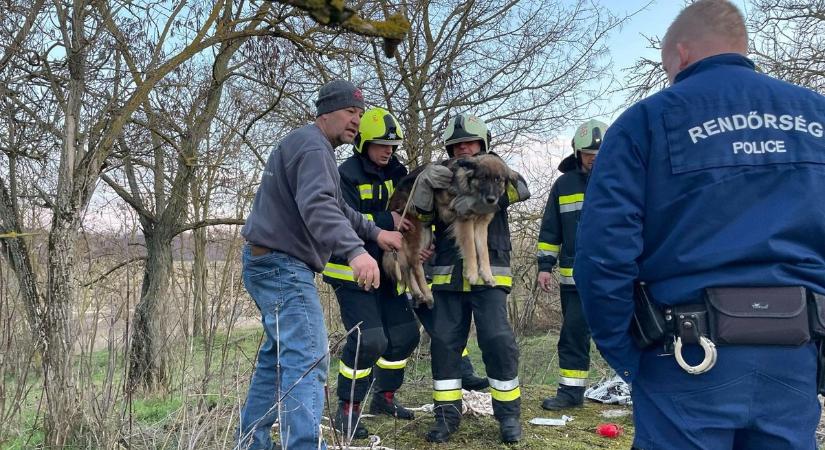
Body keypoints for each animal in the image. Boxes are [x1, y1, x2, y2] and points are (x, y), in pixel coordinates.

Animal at [384, 153, 516, 308]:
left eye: (498, 180)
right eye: (483, 178)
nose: (491, 199)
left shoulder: (481, 225)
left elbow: (483, 251)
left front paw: (487, 274)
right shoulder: (464, 221)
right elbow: (471, 248)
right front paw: (472, 274)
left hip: (426, 234)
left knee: (408, 265)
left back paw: (418, 294)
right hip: (417, 231)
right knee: (415, 264)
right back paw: (428, 295)